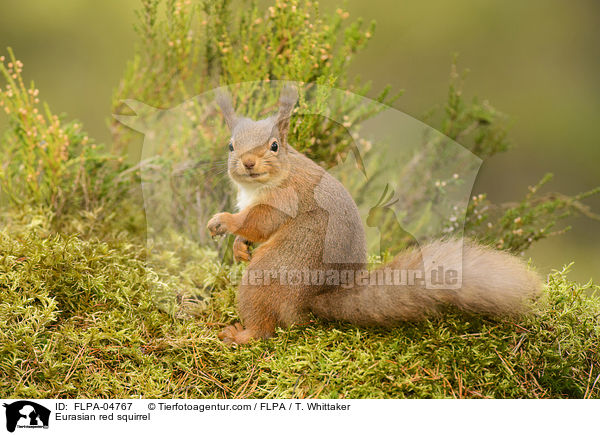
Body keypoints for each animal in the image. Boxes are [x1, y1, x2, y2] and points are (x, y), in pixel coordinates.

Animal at [207, 87, 544, 346]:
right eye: (231, 146)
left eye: (275, 146)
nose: (248, 163)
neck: (261, 185)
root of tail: (312, 302)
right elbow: (252, 232)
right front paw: (238, 247)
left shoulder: (284, 200)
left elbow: (258, 222)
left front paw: (224, 221)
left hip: (265, 278)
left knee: (264, 328)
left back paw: (240, 335)